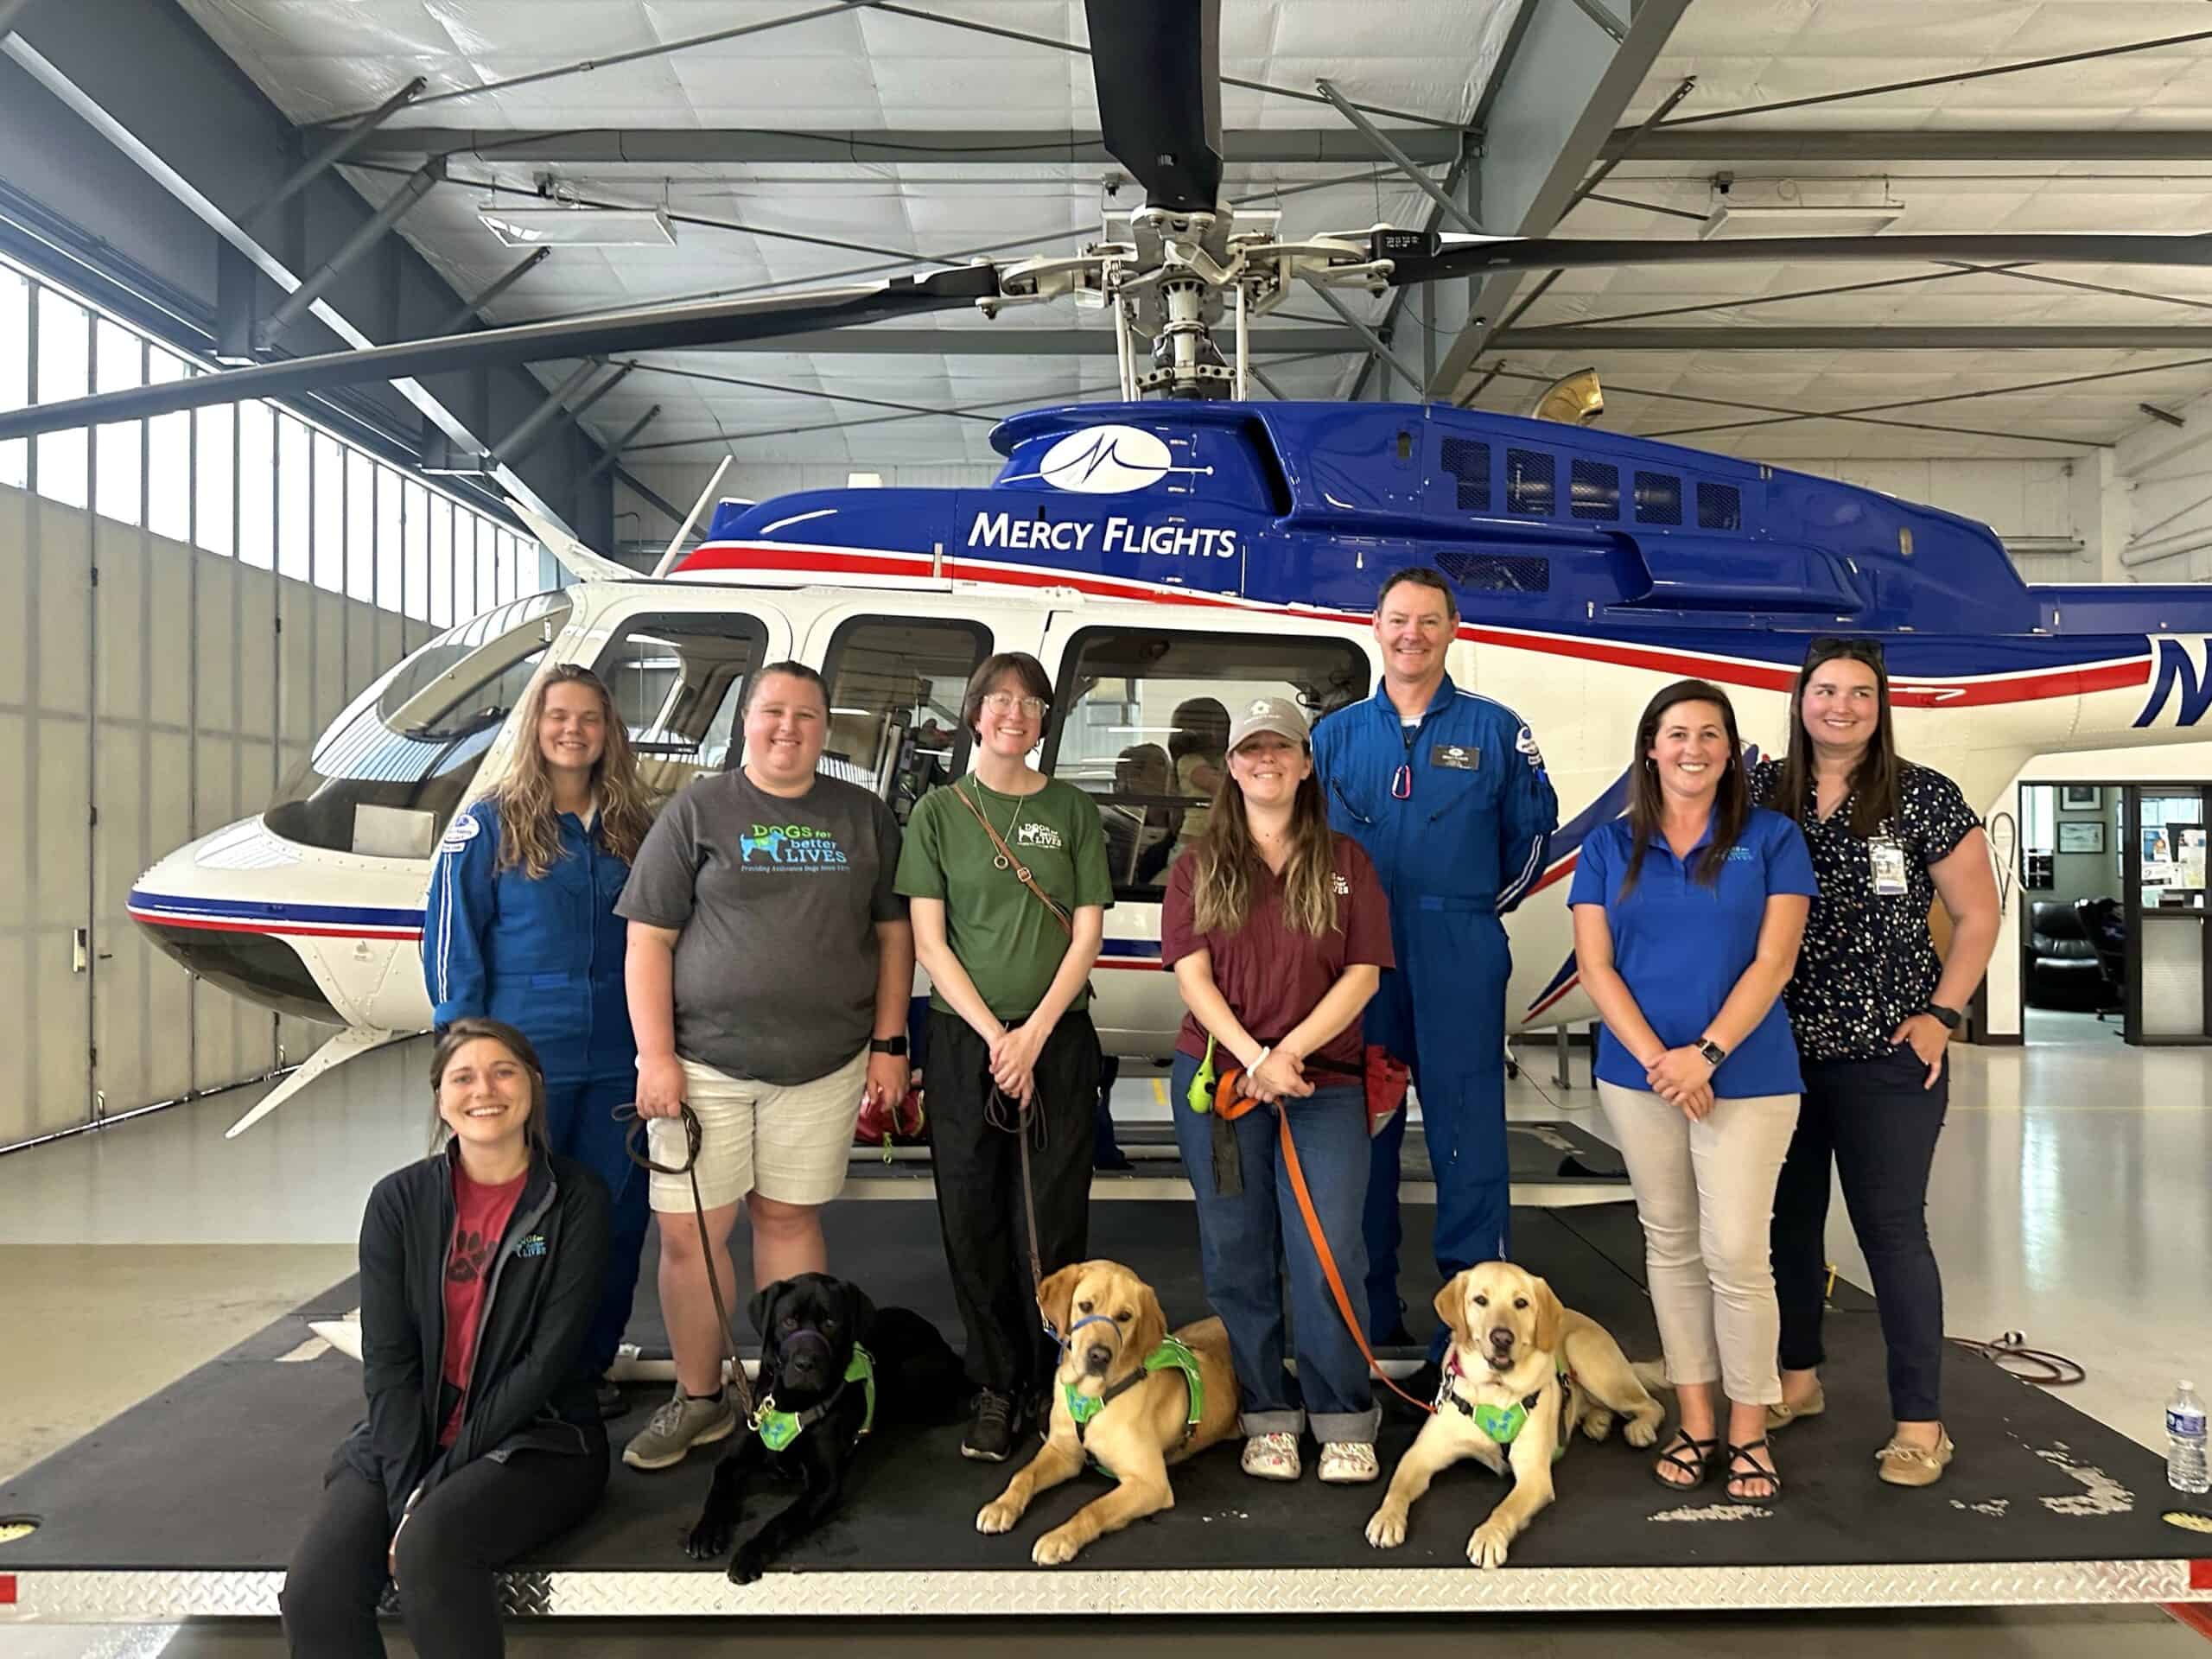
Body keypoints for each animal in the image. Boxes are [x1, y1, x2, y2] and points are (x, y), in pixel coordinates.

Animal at [685, 1274, 964, 1583]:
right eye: (789, 1321)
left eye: (831, 1322)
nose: (805, 1364)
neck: (793, 1402)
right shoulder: (733, 1458)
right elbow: (718, 1489)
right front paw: (706, 1532)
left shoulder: (824, 1483)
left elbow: (782, 1520)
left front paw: (749, 1553)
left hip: (915, 1375)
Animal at [982, 1256, 1247, 1574]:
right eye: (1085, 1306)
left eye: (1125, 1316)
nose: (1099, 1355)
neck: (1092, 1397)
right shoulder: (1062, 1452)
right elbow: (1024, 1475)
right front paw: (1001, 1506)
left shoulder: (1149, 1483)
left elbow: (1094, 1508)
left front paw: (1059, 1538)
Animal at [1362, 1274, 1663, 1574]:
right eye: (1480, 1299)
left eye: (1521, 1303)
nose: (1502, 1338)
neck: (1494, 1389)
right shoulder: (1421, 1454)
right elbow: (1397, 1487)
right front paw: (1387, 1517)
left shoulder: (1534, 1475)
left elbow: (1506, 1508)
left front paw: (1488, 1536)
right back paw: (1597, 1421)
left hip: (1586, 1356)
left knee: (1650, 1405)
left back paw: (1638, 1428)